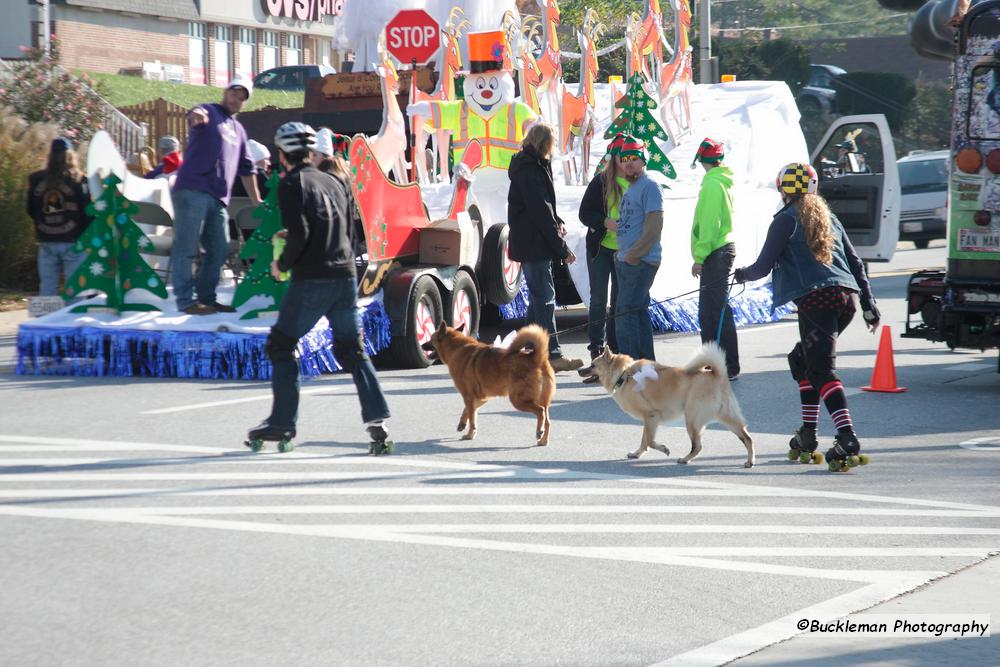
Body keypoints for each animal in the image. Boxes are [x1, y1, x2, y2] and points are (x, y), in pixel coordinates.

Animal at [424, 322, 556, 446]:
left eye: (430, 339)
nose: (422, 345)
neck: (457, 348)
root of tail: (537, 359)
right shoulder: (481, 398)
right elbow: (469, 411)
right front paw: (462, 423)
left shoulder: (468, 396)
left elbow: (472, 417)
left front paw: (470, 434)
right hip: (543, 401)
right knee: (548, 421)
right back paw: (544, 440)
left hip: (518, 400)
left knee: (540, 411)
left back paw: (539, 431)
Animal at [576, 344, 752, 470]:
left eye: (592, 365)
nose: (579, 370)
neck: (624, 375)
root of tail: (718, 375)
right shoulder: (648, 421)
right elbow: (644, 440)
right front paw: (637, 453)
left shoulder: (651, 416)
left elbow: (650, 441)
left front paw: (663, 449)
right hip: (727, 417)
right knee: (747, 438)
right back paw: (750, 461)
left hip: (692, 420)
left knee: (697, 446)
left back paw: (685, 459)